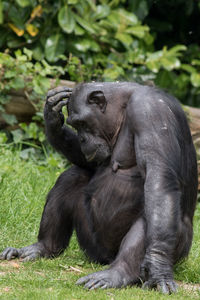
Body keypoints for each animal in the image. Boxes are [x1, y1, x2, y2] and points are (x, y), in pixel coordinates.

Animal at [0, 82, 198, 292]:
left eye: (82, 123)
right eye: (74, 125)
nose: (82, 139)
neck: (123, 109)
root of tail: (106, 258)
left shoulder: (150, 112)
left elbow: (158, 179)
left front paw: (158, 266)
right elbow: (88, 163)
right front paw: (52, 115)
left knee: (151, 211)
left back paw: (118, 273)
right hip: (91, 244)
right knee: (72, 177)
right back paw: (43, 246)